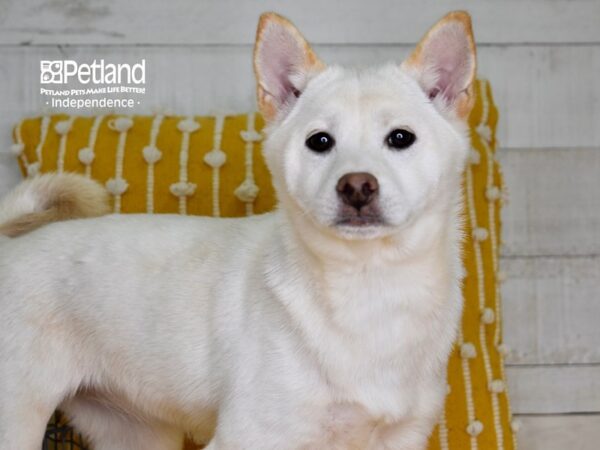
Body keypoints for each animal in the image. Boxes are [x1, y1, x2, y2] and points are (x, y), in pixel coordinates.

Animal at [0, 10, 478, 450]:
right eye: (319, 142)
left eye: (401, 138)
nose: (356, 185)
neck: (370, 288)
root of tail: (9, 247)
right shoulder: (250, 436)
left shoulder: (402, 438)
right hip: (18, 421)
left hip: (135, 433)